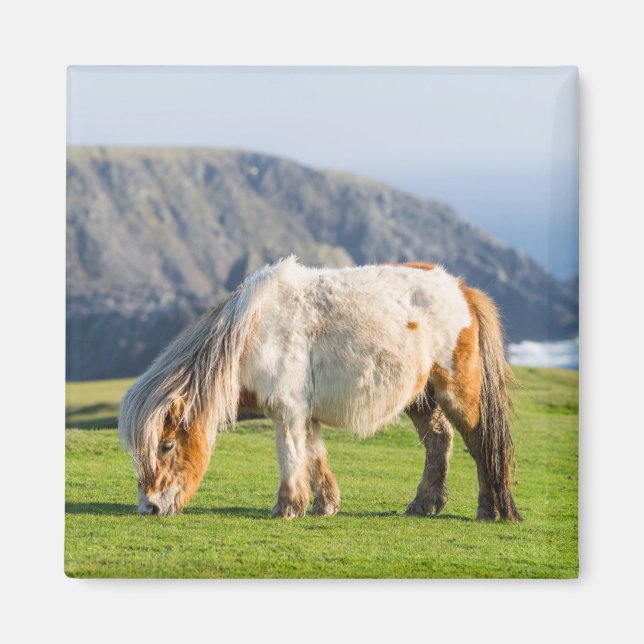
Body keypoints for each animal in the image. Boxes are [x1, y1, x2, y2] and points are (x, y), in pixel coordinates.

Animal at [119, 256, 521, 522]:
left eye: (167, 445)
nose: (149, 507)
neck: (253, 331)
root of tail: (463, 290)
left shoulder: (288, 410)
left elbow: (290, 455)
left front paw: (286, 508)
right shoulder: (304, 413)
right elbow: (314, 456)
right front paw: (324, 505)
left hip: (459, 393)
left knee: (481, 443)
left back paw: (489, 510)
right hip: (420, 397)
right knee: (439, 440)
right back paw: (424, 503)